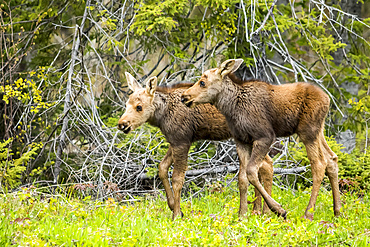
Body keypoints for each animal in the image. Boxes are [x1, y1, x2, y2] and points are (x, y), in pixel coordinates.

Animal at [117, 72, 274, 219]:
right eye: (126, 104)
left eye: (139, 107)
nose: (122, 124)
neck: (161, 116)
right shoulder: (175, 140)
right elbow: (162, 168)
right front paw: (173, 206)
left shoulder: (181, 141)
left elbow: (177, 179)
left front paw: (176, 214)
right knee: (266, 164)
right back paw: (257, 210)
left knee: (265, 165)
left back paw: (265, 210)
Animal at [182, 58, 342, 220]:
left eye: (202, 82)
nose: (184, 96)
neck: (232, 109)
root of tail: (328, 99)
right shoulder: (241, 140)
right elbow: (242, 178)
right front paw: (242, 214)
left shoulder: (265, 136)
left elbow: (252, 172)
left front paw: (278, 209)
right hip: (318, 130)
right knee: (332, 158)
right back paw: (338, 211)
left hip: (308, 132)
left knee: (319, 164)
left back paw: (308, 213)